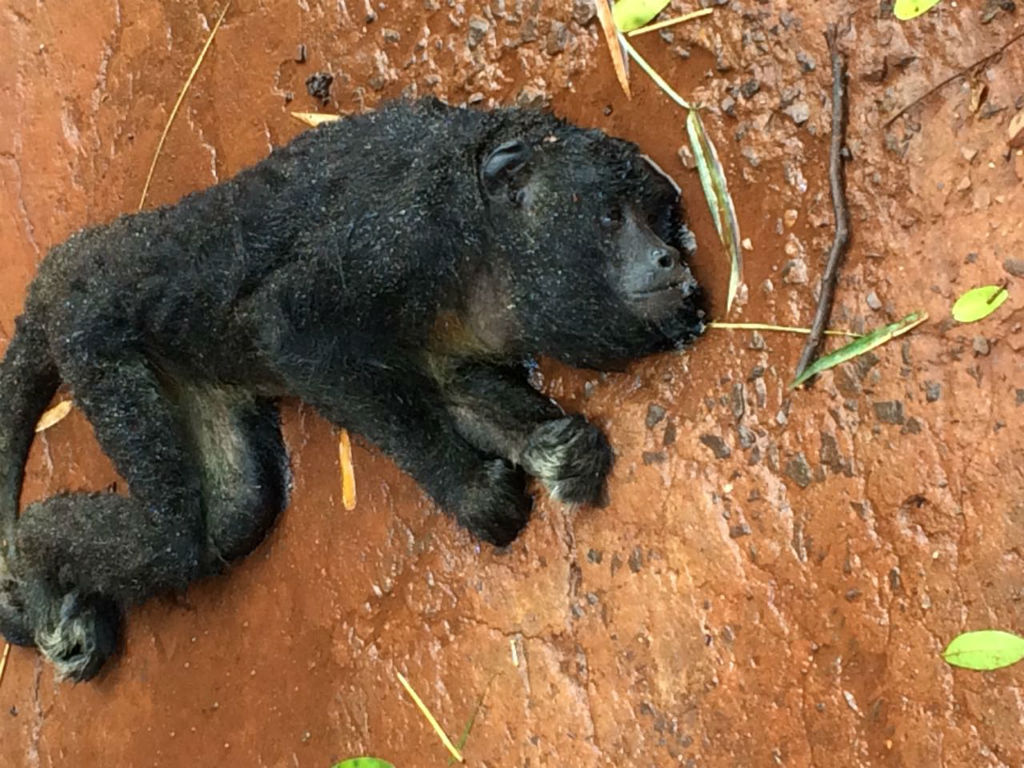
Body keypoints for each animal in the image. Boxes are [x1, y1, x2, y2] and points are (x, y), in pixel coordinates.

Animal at [0, 98, 704, 682]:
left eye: (657, 218)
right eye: (610, 216)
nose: (670, 258)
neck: (478, 230)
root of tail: (72, 262)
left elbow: (452, 388)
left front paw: (553, 449)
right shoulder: (400, 234)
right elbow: (290, 328)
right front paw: (469, 491)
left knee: (236, 513)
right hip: (92, 336)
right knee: (179, 534)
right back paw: (32, 560)